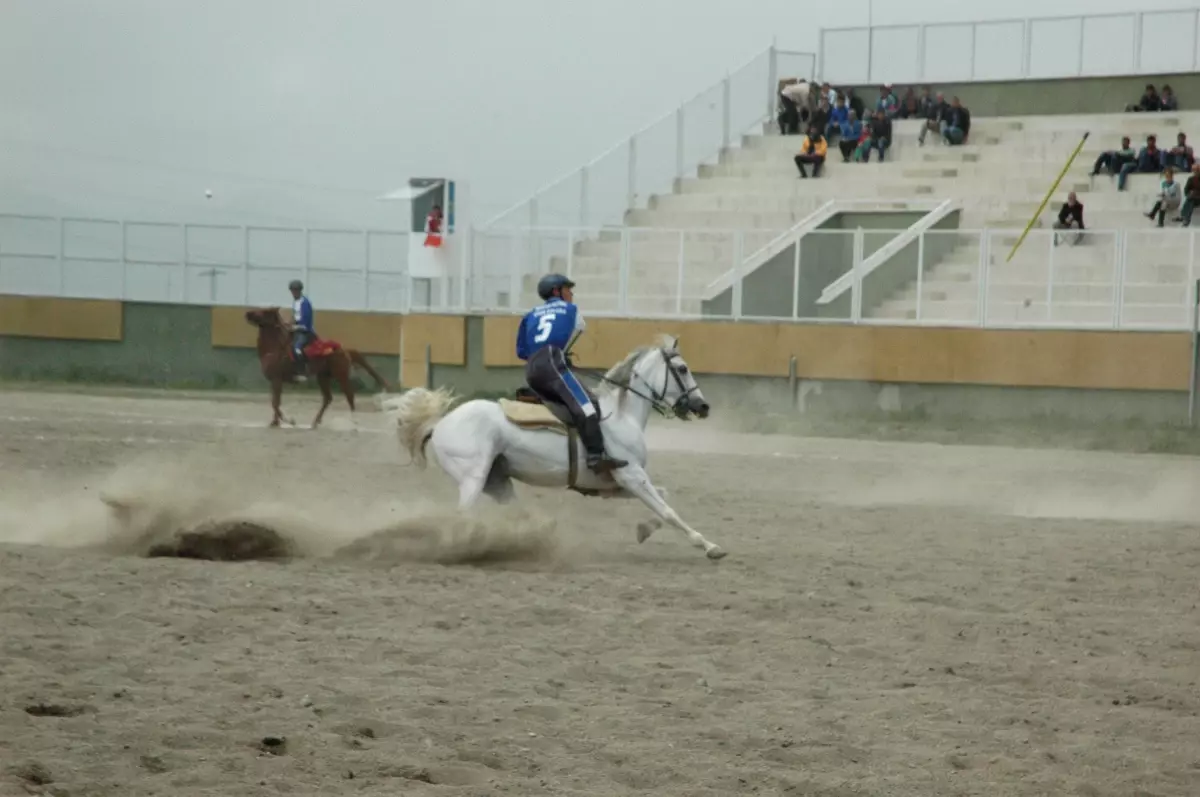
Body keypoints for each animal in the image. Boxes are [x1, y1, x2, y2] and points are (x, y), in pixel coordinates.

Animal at [244, 306, 391, 429]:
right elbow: (275, 402)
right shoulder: (274, 381)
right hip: (323, 377)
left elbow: (275, 403)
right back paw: (316, 422)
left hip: (341, 375)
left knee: (349, 395)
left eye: (264, 311)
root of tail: (344, 350)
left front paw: (290, 420)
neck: (275, 349)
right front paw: (275, 422)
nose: (247, 313)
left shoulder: (277, 380)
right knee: (328, 398)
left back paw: (354, 421)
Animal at [384, 336, 724, 559]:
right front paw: (708, 545)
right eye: (683, 369)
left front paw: (644, 529)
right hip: (473, 478)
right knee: (460, 516)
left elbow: (664, 499)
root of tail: (440, 423)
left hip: (497, 481)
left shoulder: (617, 484)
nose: (703, 406)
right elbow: (669, 511)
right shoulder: (633, 477)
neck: (620, 416)